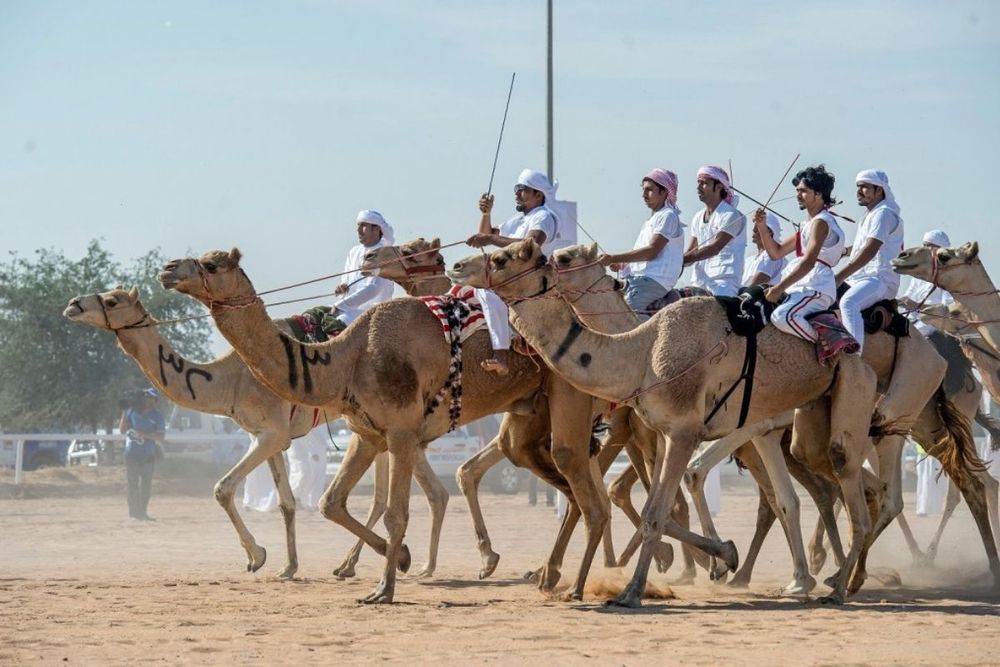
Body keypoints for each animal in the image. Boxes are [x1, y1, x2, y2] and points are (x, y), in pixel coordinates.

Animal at [63, 288, 451, 581]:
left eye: (112, 300)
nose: (73, 304)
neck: (230, 379)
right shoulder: (266, 436)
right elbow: (286, 503)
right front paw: (288, 566)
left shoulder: (271, 434)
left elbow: (223, 488)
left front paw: (257, 556)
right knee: (418, 492)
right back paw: (367, 564)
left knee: (395, 495)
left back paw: (392, 562)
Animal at [158, 249, 612, 604]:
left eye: (212, 263)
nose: (168, 268)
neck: (348, 356)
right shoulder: (368, 433)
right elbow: (331, 502)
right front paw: (402, 559)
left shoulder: (400, 431)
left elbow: (396, 512)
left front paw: (384, 588)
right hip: (530, 413)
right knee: (560, 480)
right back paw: (547, 574)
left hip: (569, 390)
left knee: (582, 484)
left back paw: (576, 585)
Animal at [449, 239, 882, 606]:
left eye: (503, 259)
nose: (456, 266)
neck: (641, 352)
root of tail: (858, 350)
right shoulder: (659, 431)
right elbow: (651, 508)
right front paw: (718, 558)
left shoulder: (683, 432)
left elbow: (656, 513)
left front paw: (632, 591)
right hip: (794, 423)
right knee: (803, 494)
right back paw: (813, 579)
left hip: (850, 393)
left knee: (847, 483)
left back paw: (839, 586)